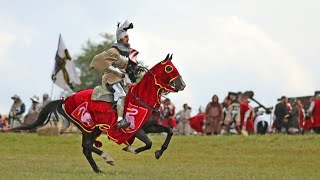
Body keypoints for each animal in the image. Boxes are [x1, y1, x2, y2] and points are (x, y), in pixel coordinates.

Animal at [11, 53, 186, 173]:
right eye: (169, 68)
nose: (182, 84)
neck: (142, 97)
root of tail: (65, 100)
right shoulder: (135, 129)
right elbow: (148, 143)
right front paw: (130, 149)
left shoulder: (149, 126)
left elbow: (169, 131)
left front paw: (159, 152)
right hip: (88, 127)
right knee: (88, 146)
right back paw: (107, 158)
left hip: (93, 129)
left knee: (86, 149)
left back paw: (98, 169)